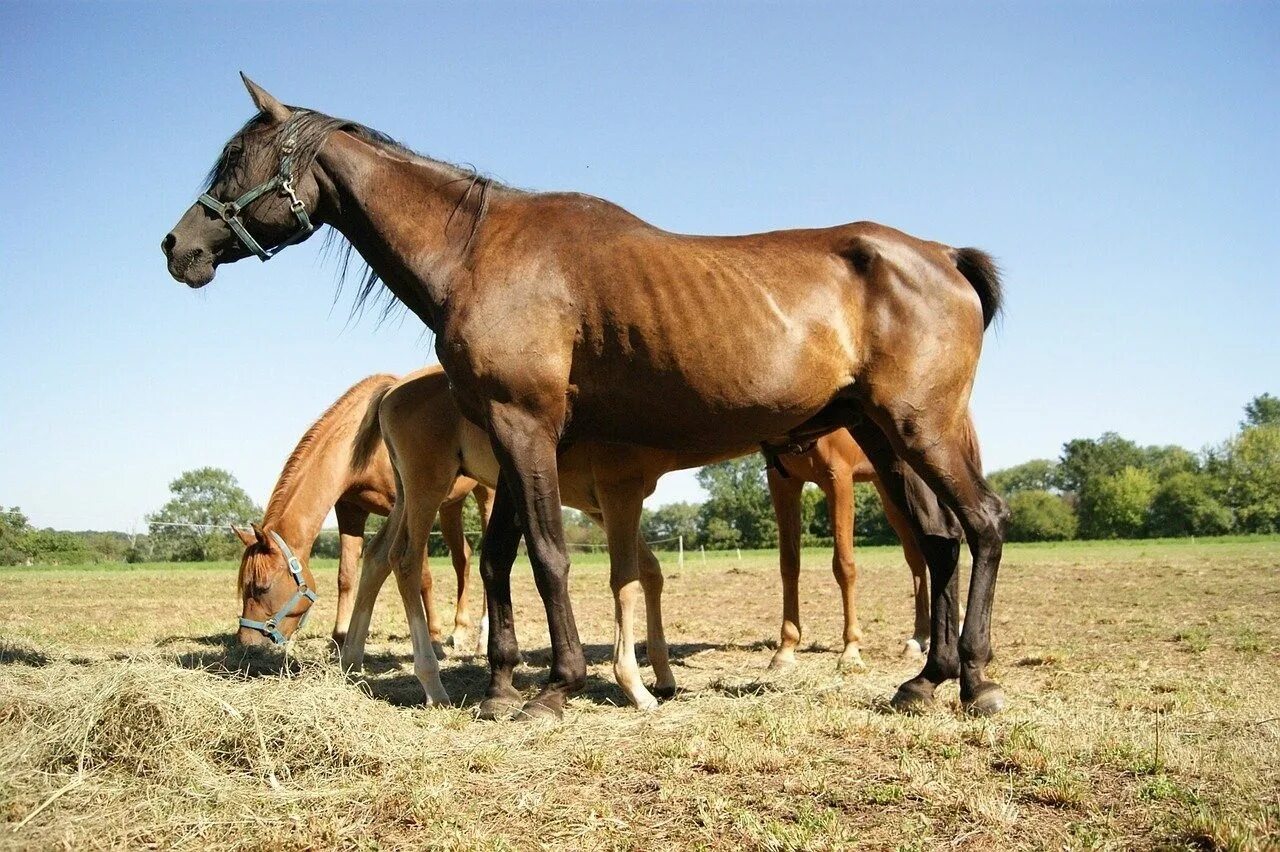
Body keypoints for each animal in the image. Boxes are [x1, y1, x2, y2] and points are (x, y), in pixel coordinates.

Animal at [232, 370, 491, 644]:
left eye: (262, 587)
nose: (246, 640)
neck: (367, 443)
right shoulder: (350, 510)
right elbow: (346, 575)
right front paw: (341, 635)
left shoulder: (408, 504)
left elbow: (424, 576)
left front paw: (433, 634)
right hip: (451, 505)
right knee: (462, 558)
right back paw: (459, 630)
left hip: (486, 494)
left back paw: (481, 638)